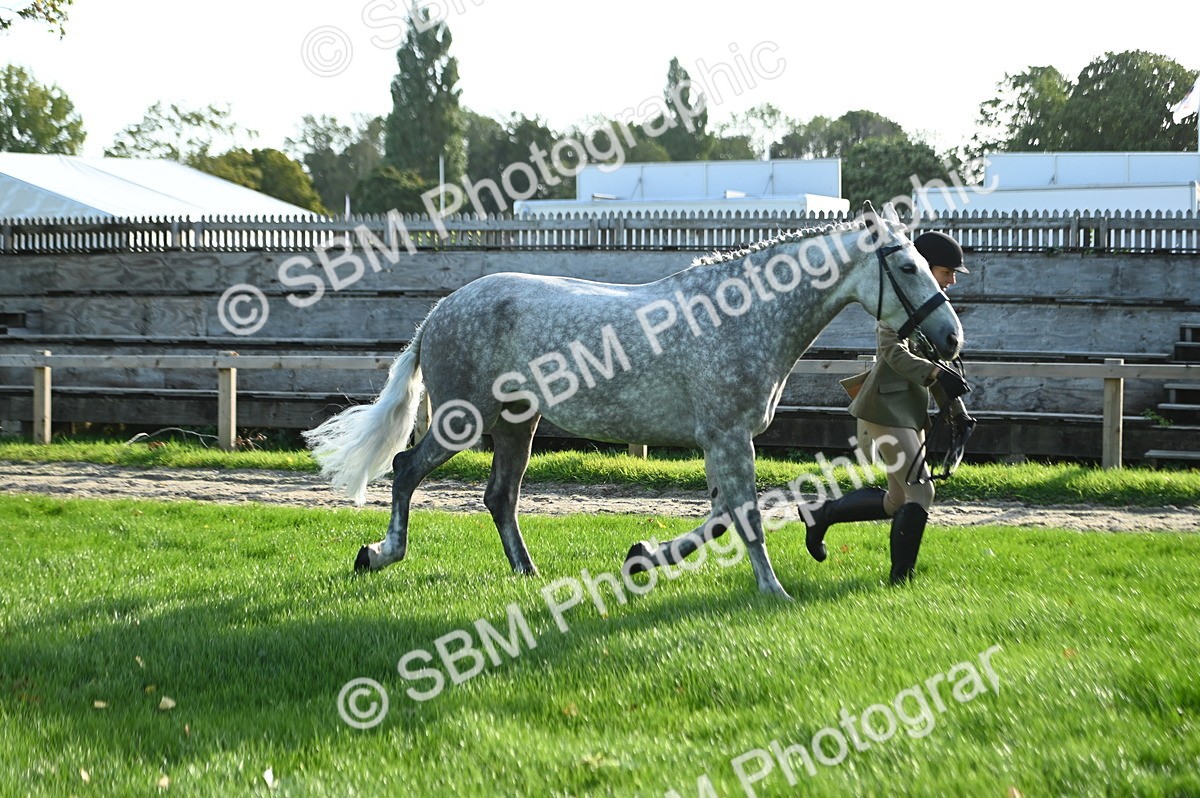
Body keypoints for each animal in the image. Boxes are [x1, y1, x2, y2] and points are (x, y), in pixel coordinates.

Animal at [303, 204, 962, 599]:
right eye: (908, 266)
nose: (952, 338)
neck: (742, 317)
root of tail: (439, 311)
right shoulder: (727, 436)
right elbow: (745, 518)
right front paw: (773, 592)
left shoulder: (721, 441)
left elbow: (721, 518)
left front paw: (641, 557)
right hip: (464, 420)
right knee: (405, 469)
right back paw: (377, 554)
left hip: (518, 423)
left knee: (499, 497)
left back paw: (528, 573)